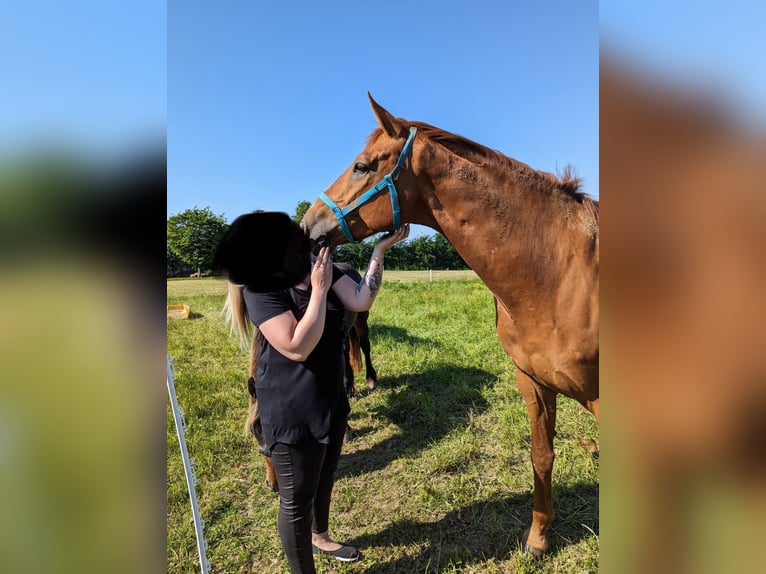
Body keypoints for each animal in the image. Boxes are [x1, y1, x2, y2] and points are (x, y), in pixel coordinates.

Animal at [300, 94, 600, 560]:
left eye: (362, 166)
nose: (308, 224)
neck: (558, 274)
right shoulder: (532, 381)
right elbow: (542, 455)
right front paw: (537, 538)